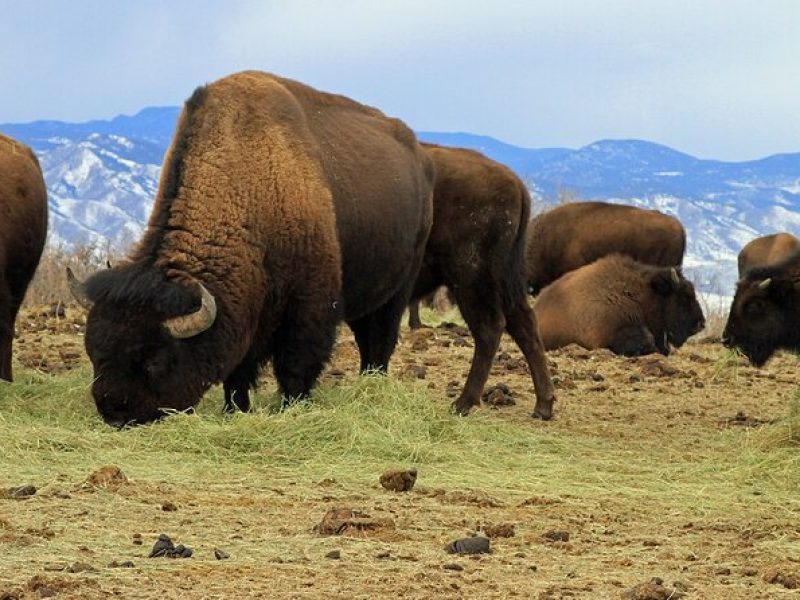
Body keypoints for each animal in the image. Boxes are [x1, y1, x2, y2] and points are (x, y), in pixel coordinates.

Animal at [67, 71, 438, 426]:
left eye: (154, 359)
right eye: (93, 352)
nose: (115, 413)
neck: (250, 192)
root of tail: (418, 157)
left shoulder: (309, 307)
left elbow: (296, 365)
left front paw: (292, 407)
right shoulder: (246, 313)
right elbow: (239, 371)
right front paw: (235, 409)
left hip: (399, 289)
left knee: (381, 339)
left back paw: (373, 385)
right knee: (366, 339)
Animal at [412, 144, 556, 420]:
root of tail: (516, 183)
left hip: (471, 279)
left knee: (490, 328)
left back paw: (463, 403)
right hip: (505, 279)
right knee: (524, 324)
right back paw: (543, 406)